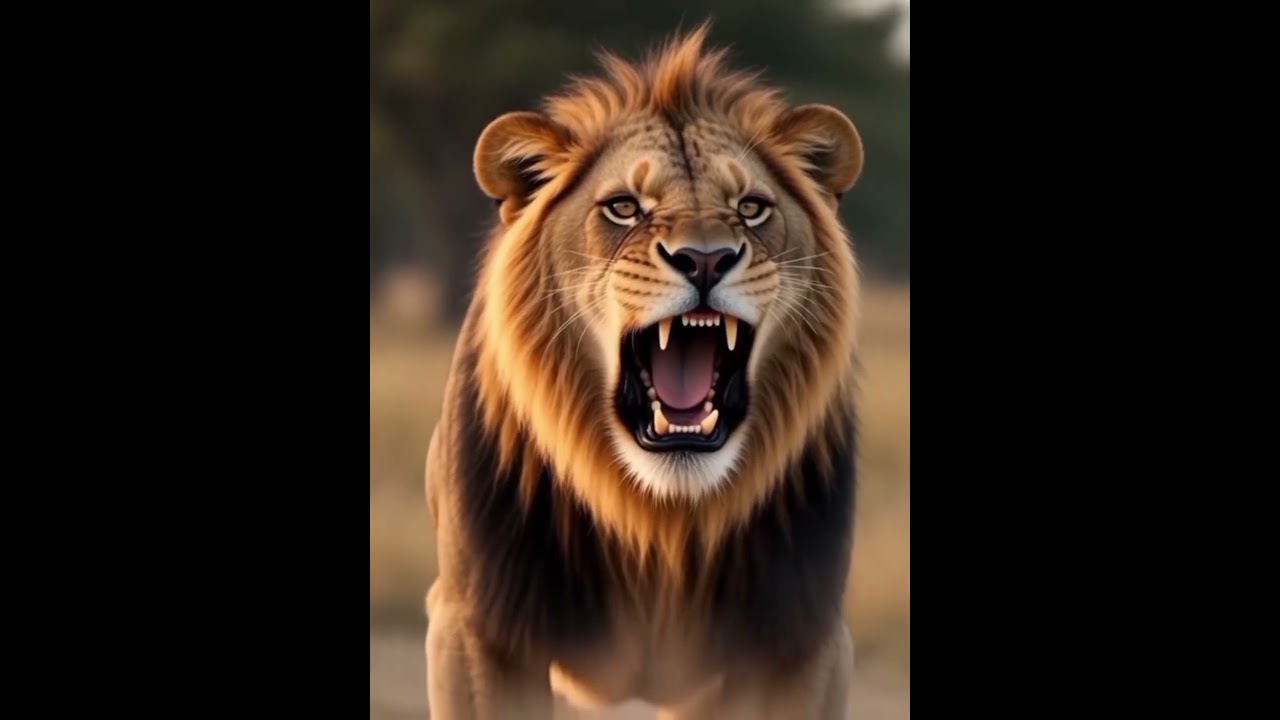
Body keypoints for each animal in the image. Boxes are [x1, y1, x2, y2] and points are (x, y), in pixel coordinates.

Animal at [424, 24, 865, 720]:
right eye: (624, 207)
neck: (659, 518)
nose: (706, 259)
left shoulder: (801, 641)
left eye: (753, 207)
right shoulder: (476, 628)